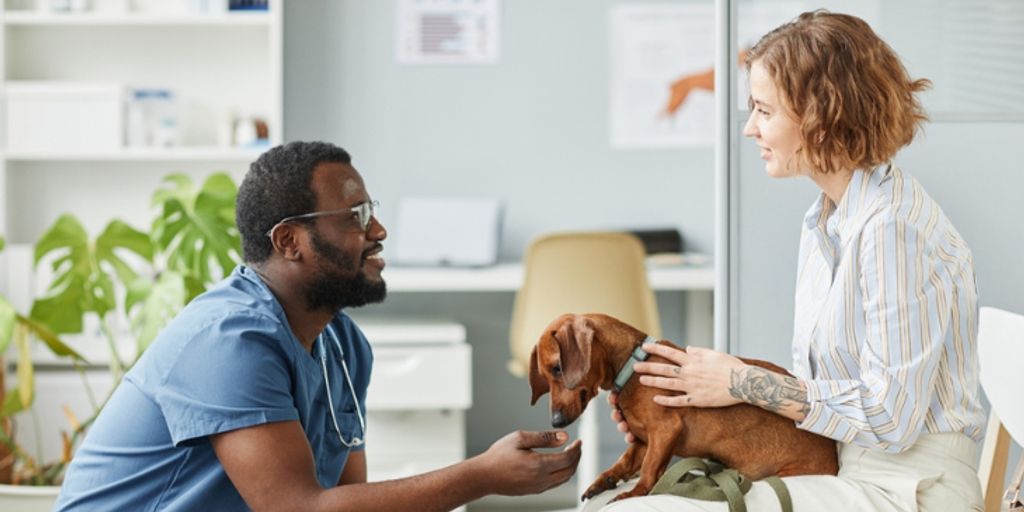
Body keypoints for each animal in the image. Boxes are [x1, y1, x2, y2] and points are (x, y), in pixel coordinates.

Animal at [528, 313, 839, 501]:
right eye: (545, 375)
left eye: (557, 369)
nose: (556, 422)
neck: (633, 366)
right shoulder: (642, 440)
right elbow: (625, 462)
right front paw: (604, 481)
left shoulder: (665, 431)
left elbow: (650, 468)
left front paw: (636, 493)